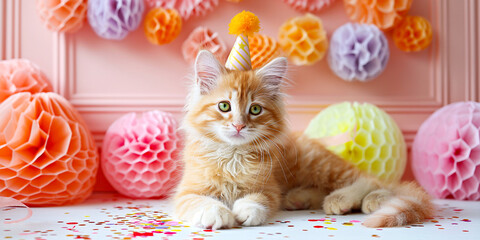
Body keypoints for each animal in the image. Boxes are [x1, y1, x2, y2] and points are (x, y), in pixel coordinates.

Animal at [173, 50, 436, 229]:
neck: (232, 156)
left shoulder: (268, 187)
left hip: (320, 165)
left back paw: (354, 199)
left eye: (255, 110)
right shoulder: (186, 190)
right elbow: (198, 201)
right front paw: (216, 213)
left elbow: (258, 199)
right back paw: (300, 199)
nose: (239, 125)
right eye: (224, 106)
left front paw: (245, 210)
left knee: (371, 180)